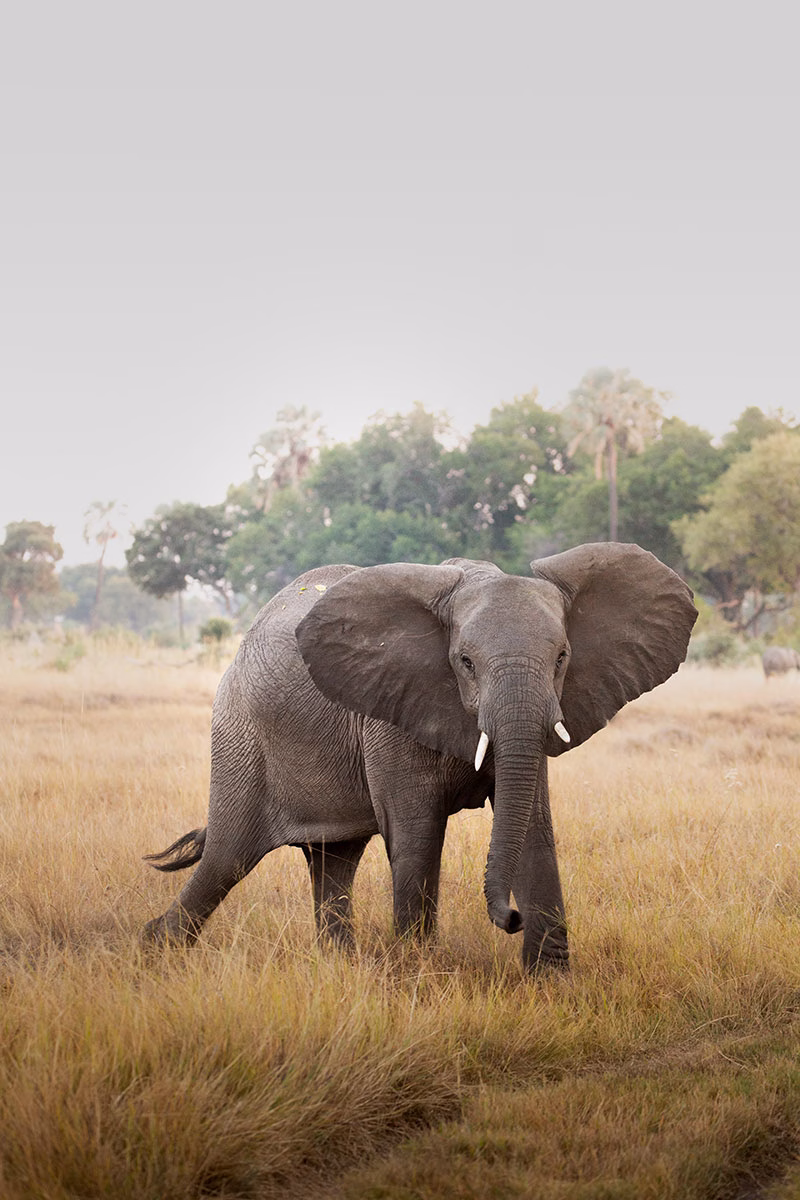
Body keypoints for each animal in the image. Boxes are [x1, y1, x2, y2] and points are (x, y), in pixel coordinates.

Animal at [141, 542, 697, 971]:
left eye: (562, 658)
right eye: (465, 662)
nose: (510, 919)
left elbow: (535, 828)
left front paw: (550, 985)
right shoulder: (390, 711)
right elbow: (417, 834)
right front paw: (418, 972)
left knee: (332, 860)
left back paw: (339, 965)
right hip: (239, 738)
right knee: (227, 858)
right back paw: (153, 953)